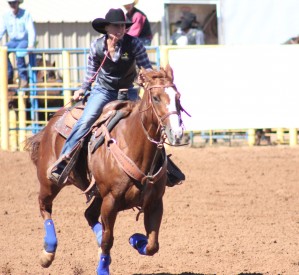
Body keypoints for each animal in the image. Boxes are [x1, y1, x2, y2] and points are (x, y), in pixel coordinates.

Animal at [25, 65, 185, 275]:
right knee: (44, 206)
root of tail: (53, 120)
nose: (177, 133)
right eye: (156, 98)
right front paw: (103, 267)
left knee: (89, 215)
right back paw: (48, 252)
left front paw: (135, 240)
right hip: (50, 182)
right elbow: (109, 240)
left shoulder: (155, 202)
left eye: (178, 97)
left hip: (97, 194)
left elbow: (152, 245)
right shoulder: (110, 201)